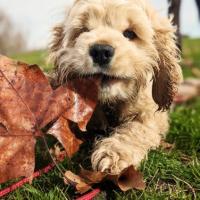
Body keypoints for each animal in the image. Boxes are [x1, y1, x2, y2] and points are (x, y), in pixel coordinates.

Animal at [49, 0, 183, 175]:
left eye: (130, 34)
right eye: (85, 30)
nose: (100, 51)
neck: (110, 103)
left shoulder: (150, 116)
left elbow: (136, 129)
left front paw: (113, 155)